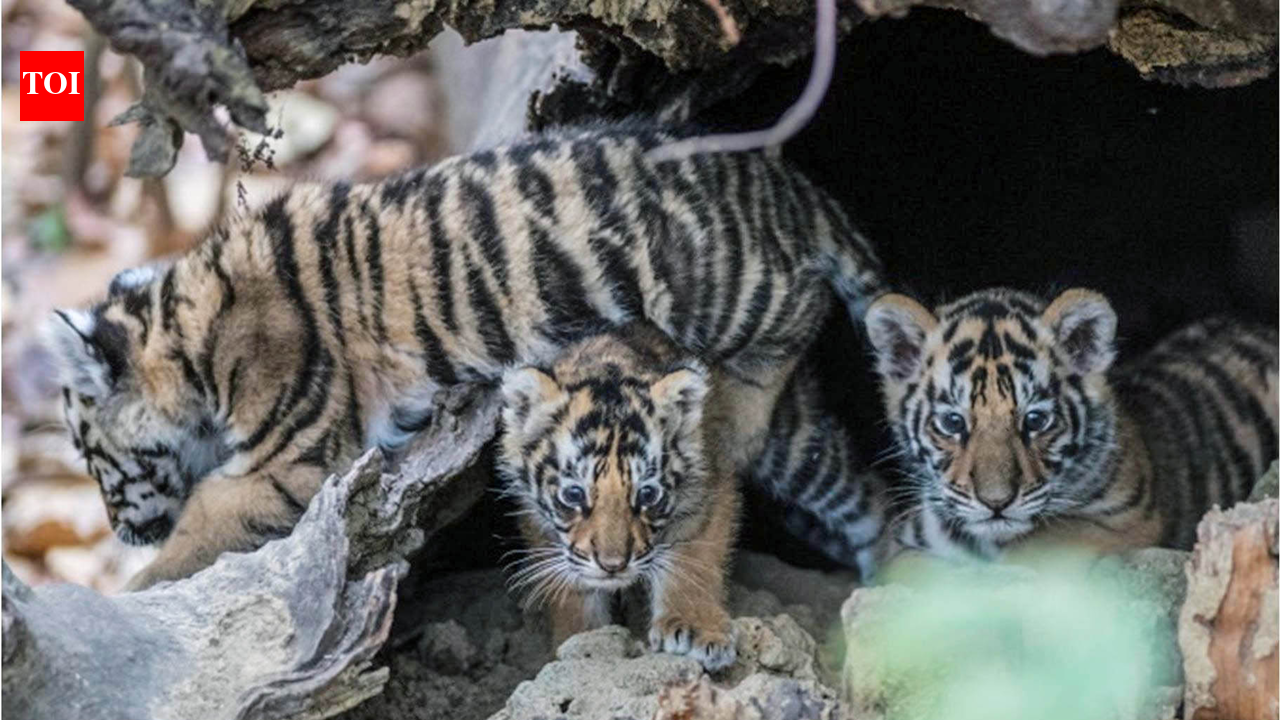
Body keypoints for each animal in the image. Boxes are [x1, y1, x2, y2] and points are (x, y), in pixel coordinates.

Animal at [43, 121, 884, 590]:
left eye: (92, 457)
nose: (120, 532)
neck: (188, 335)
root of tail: (787, 183)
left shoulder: (296, 459)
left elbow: (204, 518)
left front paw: (143, 583)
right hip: (799, 442)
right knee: (859, 495)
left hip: (734, 288)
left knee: (803, 313)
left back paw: (738, 414)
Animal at [498, 323, 739, 670]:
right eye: (573, 494)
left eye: (648, 494)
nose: (612, 565)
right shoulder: (537, 521)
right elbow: (572, 592)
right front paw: (581, 644)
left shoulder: (709, 486)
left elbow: (693, 558)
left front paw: (695, 628)